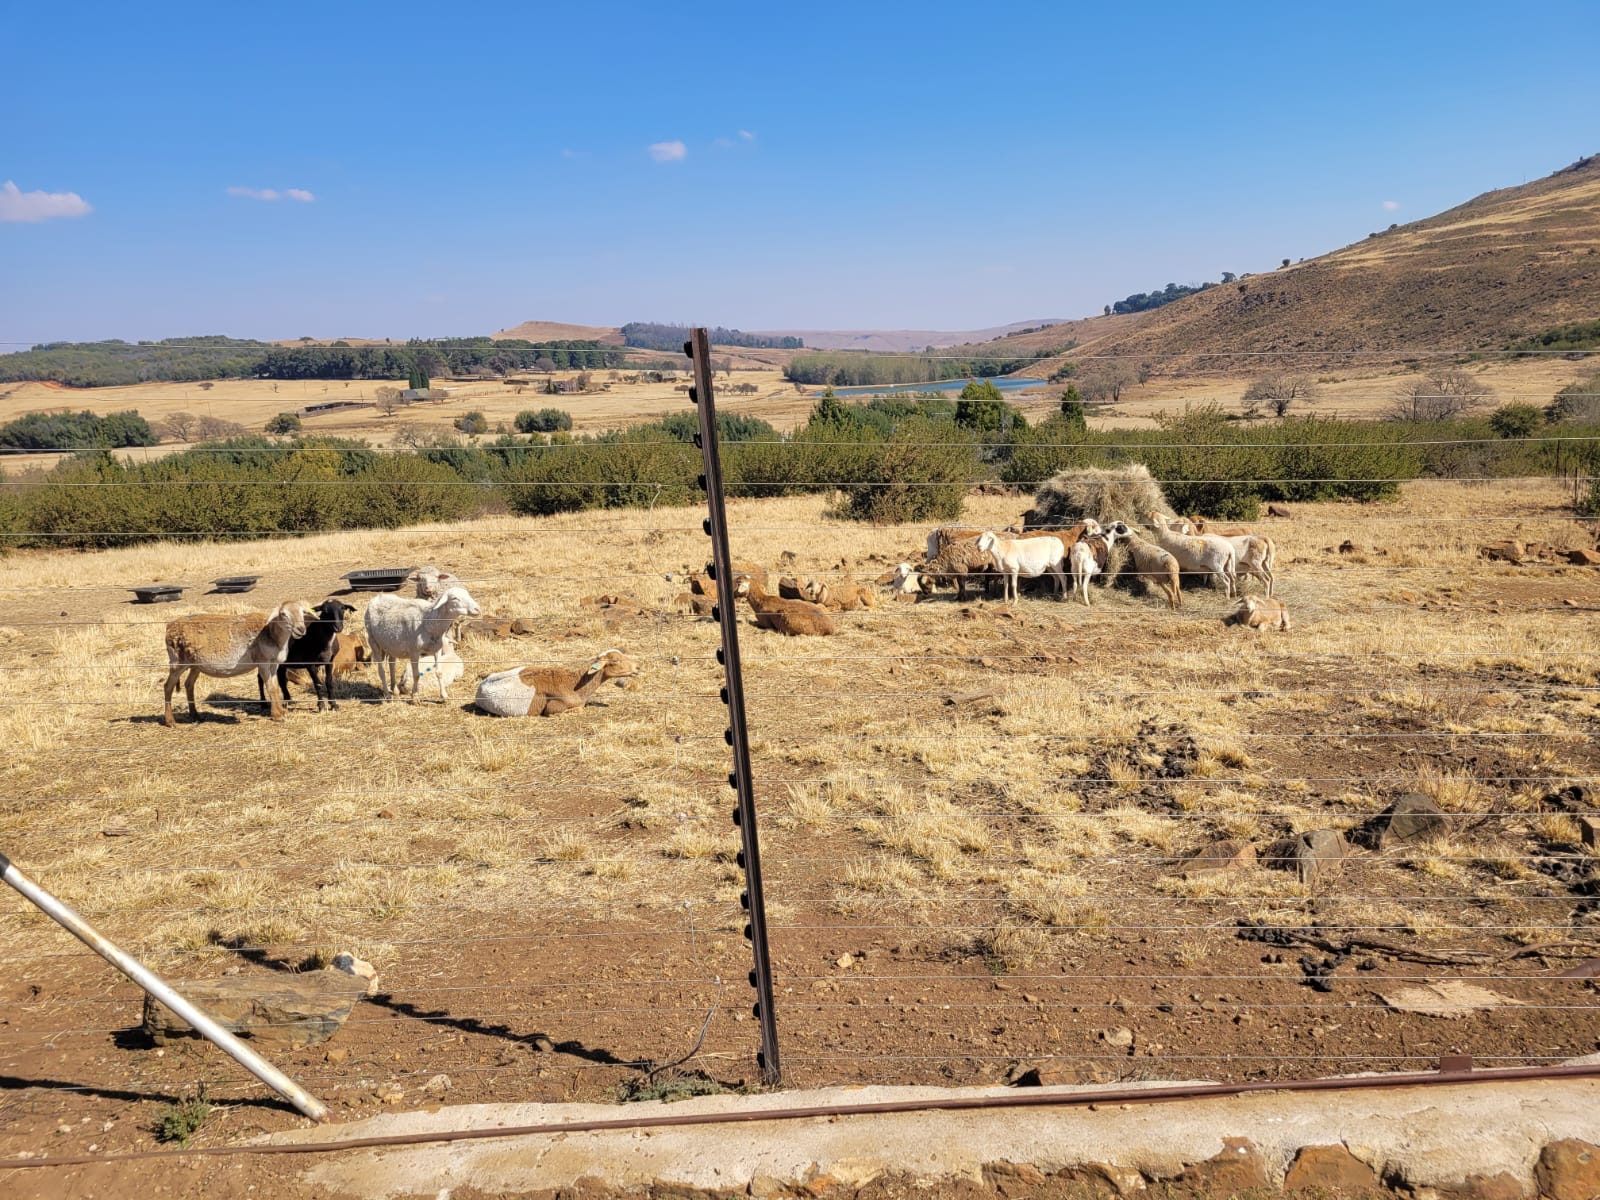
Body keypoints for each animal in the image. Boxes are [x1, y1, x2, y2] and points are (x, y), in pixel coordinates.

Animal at [162, 600, 313, 727]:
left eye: (302, 612)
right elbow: (271, 688)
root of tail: (169, 626)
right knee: (168, 686)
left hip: (195, 665)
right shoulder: (263, 662)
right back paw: (170, 721)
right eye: (283, 614)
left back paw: (195, 715)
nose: (301, 629)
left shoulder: (274, 664)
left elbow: (275, 687)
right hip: (177, 662)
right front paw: (277, 715)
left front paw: (282, 712)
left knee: (189, 684)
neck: (272, 633)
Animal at [475, 649, 639, 717]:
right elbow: (577, 709)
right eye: (615, 660)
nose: (637, 667)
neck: (573, 685)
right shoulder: (553, 706)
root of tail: (481, 685)